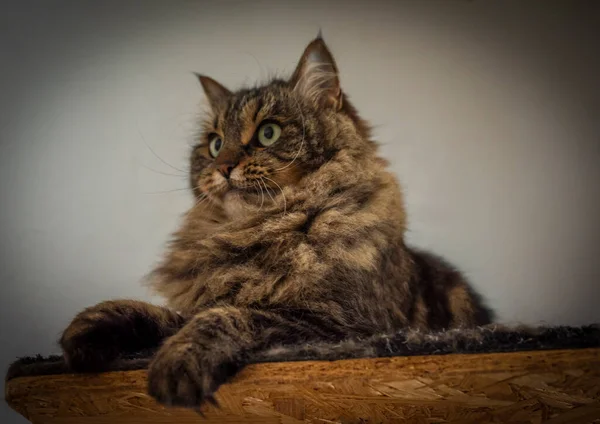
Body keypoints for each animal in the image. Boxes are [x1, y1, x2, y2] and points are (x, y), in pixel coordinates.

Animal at [61, 35, 492, 408]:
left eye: (268, 133)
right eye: (215, 144)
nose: (223, 167)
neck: (257, 230)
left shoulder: (341, 325)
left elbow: (226, 316)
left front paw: (177, 362)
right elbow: (165, 314)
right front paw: (89, 328)